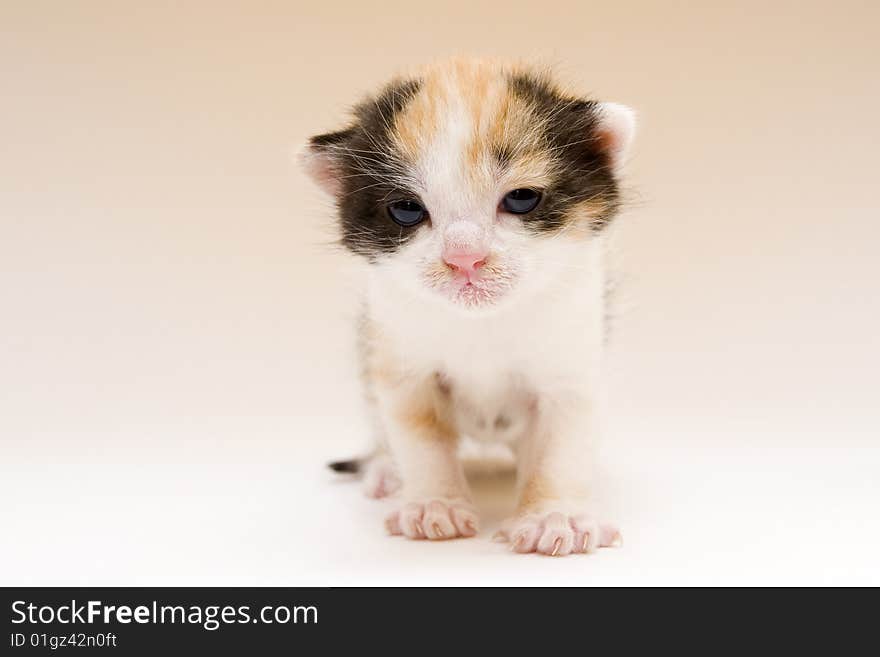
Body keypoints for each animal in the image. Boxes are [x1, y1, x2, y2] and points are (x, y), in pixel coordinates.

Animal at [302, 59, 632, 556]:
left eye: (521, 198)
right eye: (406, 209)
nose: (464, 257)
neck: (482, 325)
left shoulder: (570, 369)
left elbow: (559, 447)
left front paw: (554, 517)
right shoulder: (400, 361)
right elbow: (420, 438)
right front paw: (432, 505)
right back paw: (386, 470)